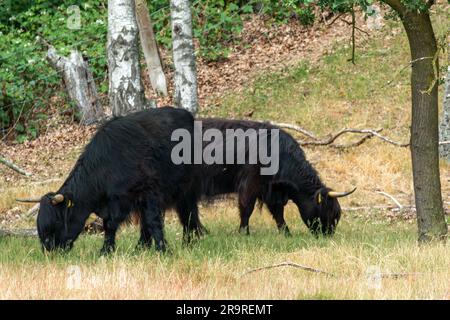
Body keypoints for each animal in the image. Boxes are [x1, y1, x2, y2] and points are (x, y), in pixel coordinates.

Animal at [36, 106, 203, 254]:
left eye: (57, 222)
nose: (49, 251)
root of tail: (187, 115)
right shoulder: (116, 202)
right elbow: (110, 225)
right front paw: (107, 250)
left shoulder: (148, 192)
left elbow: (152, 221)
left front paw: (163, 250)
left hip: (185, 188)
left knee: (188, 214)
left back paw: (189, 242)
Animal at [186, 119, 356, 236]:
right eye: (327, 211)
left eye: (337, 215)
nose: (328, 235)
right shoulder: (250, 185)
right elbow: (247, 209)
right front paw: (244, 233)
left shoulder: (271, 190)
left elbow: (278, 213)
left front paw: (287, 234)